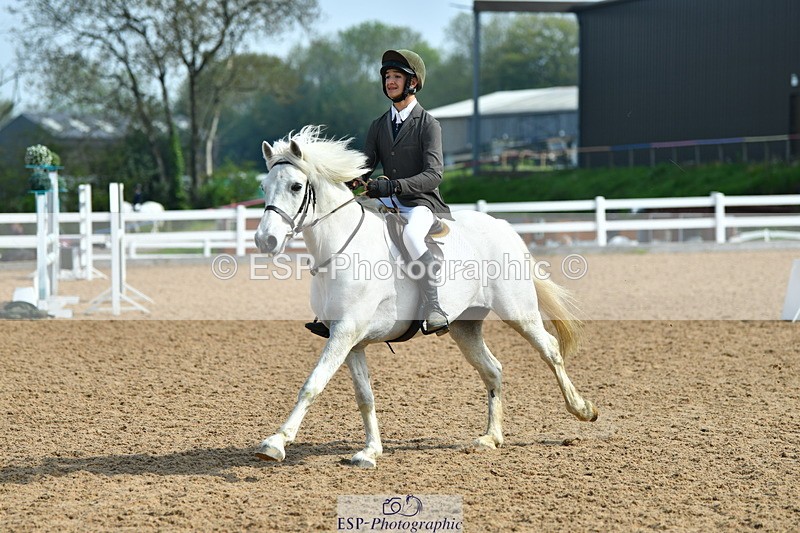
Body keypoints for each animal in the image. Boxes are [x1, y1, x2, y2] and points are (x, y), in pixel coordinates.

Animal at [253, 126, 597, 468]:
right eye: (265, 186)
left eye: (296, 186)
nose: (264, 240)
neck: (341, 249)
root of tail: (502, 225)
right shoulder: (351, 341)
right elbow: (364, 396)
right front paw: (370, 451)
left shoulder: (345, 332)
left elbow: (312, 385)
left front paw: (276, 442)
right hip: (465, 326)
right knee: (493, 369)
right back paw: (491, 437)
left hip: (518, 312)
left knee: (550, 349)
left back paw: (583, 410)